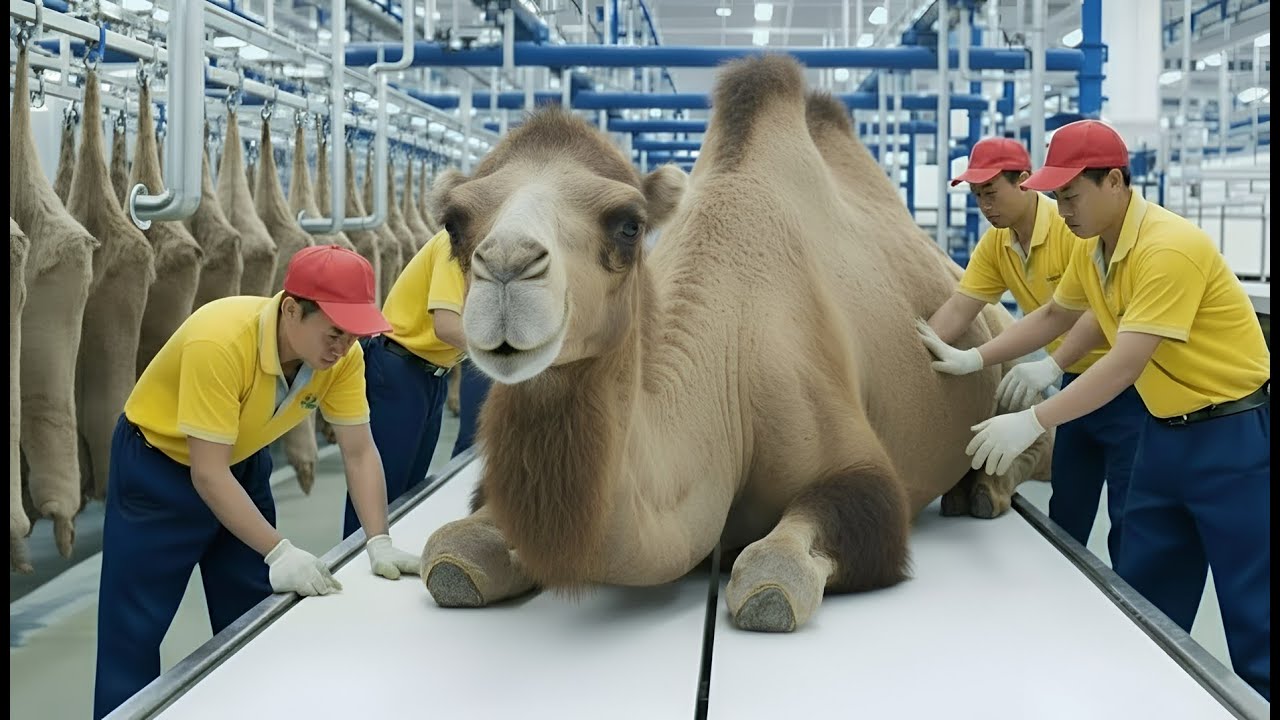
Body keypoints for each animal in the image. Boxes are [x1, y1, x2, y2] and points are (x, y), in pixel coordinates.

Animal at [420, 55, 1048, 632]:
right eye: (453, 222)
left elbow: (776, 574)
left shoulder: (857, 469)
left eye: (628, 223)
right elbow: (449, 554)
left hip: (1003, 335)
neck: (724, 372)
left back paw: (982, 490)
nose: (507, 265)